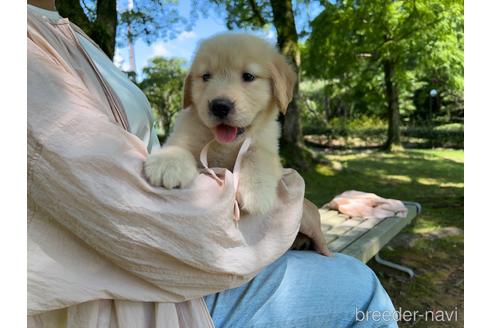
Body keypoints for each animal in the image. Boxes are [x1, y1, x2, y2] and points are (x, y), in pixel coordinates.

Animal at [143, 33, 296, 215]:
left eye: (248, 76)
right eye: (206, 76)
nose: (220, 107)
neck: (226, 144)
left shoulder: (267, 146)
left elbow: (258, 155)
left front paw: (257, 190)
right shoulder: (187, 130)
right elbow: (179, 143)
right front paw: (168, 161)